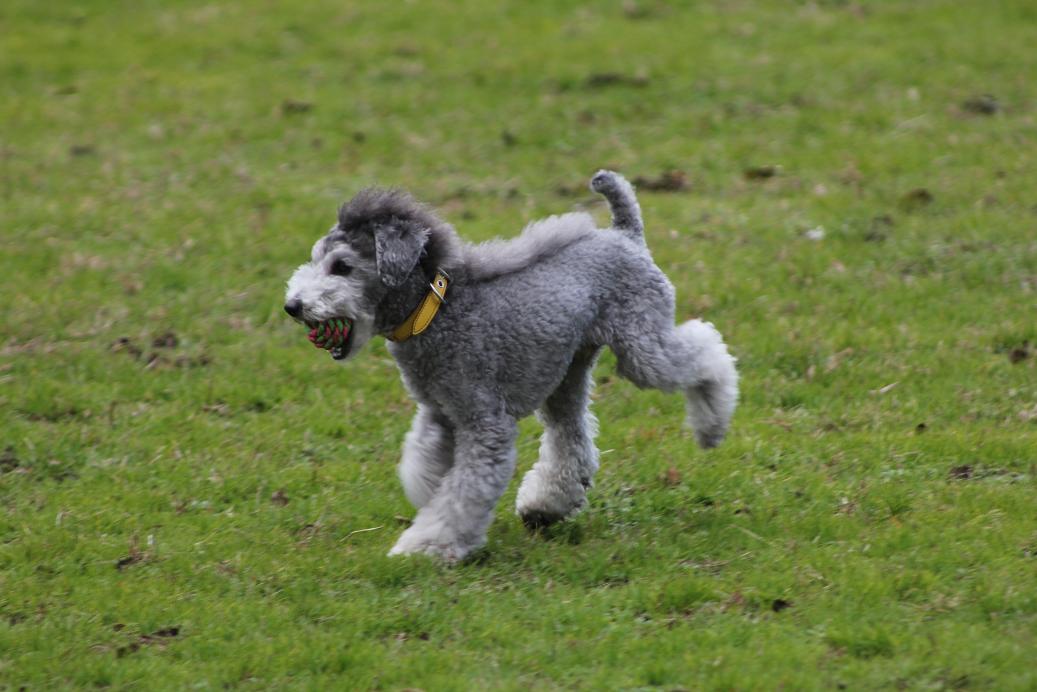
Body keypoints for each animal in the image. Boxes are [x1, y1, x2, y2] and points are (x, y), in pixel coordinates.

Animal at [284, 171, 738, 562]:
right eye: (314, 259)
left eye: (341, 267)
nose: (292, 306)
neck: (434, 310)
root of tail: (625, 234)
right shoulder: (440, 414)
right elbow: (424, 464)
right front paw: (428, 506)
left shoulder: (484, 422)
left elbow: (462, 493)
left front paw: (426, 546)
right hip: (567, 372)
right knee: (570, 438)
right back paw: (546, 507)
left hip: (641, 346)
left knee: (707, 352)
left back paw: (712, 427)